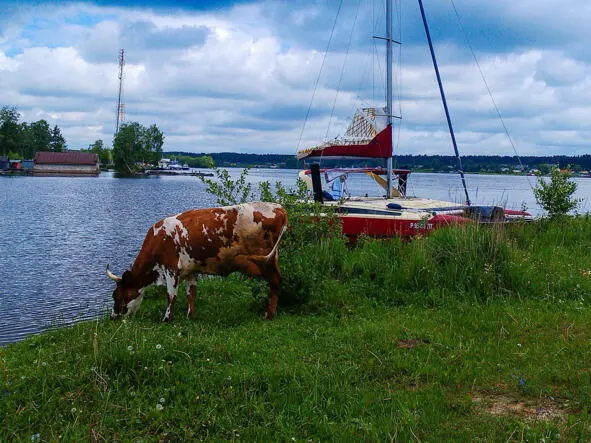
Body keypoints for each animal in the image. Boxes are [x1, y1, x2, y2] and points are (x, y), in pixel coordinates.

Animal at [109, 202, 292, 322]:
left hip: (266, 261)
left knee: (275, 282)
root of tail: (279, 208)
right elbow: (191, 293)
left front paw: (166, 319)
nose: (113, 317)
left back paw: (269, 315)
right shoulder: (191, 270)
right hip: (272, 259)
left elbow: (171, 296)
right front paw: (190, 316)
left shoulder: (171, 270)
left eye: (115, 295)